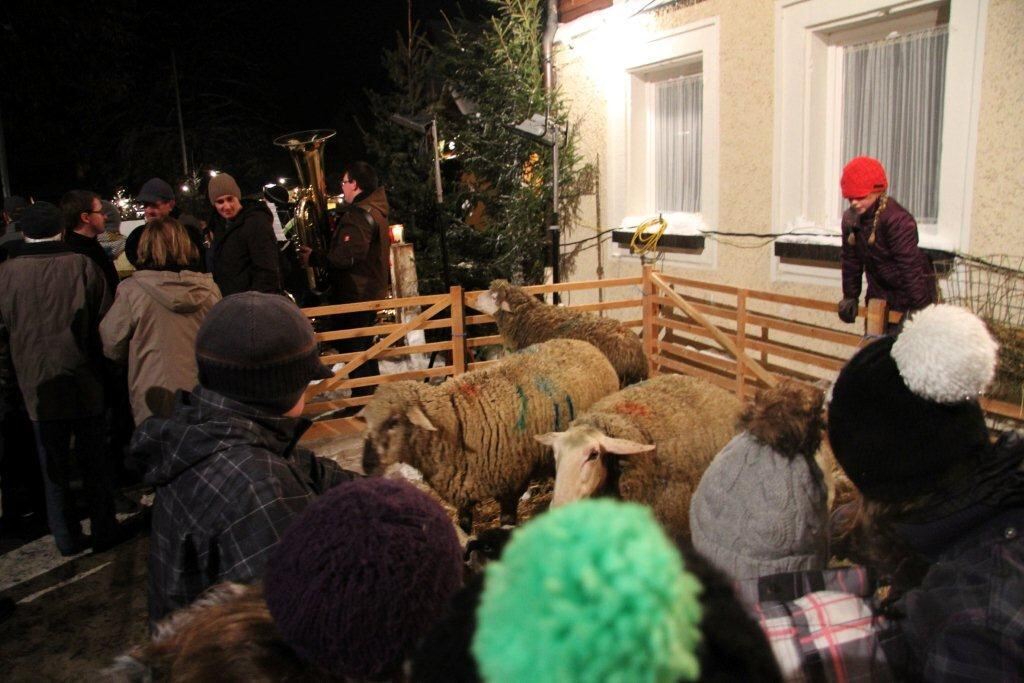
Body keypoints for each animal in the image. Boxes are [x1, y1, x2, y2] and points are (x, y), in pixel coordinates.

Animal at [360, 339, 614, 532]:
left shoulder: (511, 482)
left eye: (393, 422)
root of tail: (584, 344)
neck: (454, 421)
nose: (366, 465)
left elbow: (506, 523)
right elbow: (464, 525)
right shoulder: (461, 488)